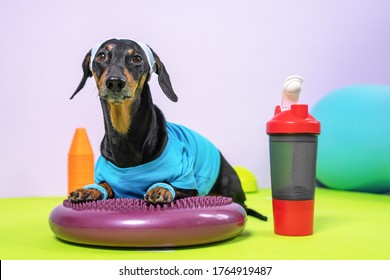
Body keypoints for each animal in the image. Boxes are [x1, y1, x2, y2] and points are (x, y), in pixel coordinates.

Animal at [68, 37, 266, 221]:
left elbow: (168, 184)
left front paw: (160, 189)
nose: (115, 82)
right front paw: (87, 191)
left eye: (137, 58)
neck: (125, 136)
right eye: (101, 56)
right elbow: (105, 185)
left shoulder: (188, 185)